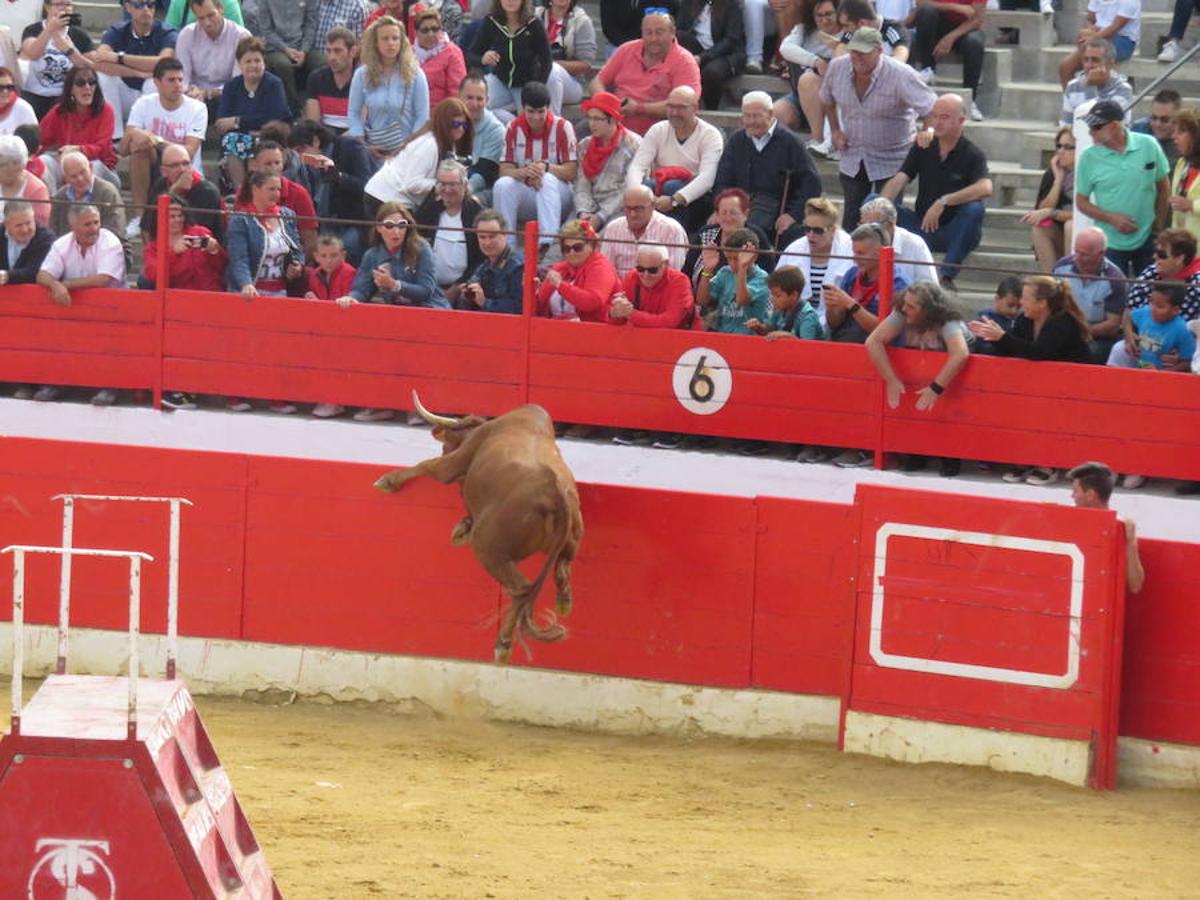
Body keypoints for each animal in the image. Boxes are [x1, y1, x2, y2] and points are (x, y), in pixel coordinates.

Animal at [372, 393, 583, 662]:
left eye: (446, 445)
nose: (444, 447)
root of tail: (554, 494)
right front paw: (462, 528)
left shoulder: (454, 463)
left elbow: (429, 465)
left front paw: (388, 480)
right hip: (570, 540)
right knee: (561, 571)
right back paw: (563, 603)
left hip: (489, 551)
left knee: (521, 588)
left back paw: (503, 644)